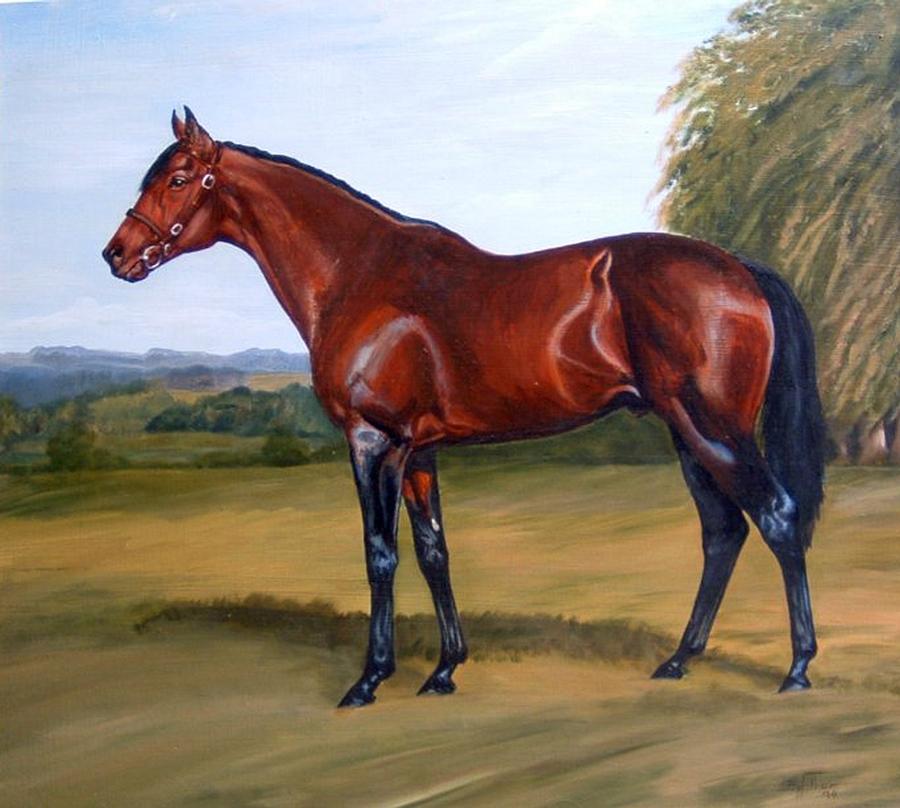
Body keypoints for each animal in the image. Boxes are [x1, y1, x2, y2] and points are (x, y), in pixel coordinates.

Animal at [103, 108, 826, 707]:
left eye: (177, 178)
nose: (116, 255)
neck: (359, 277)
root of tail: (740, 270)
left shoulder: (374, 443)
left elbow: (381, 554)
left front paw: (370, 679)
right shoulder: (420, 452)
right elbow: (434, 552)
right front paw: (446, 669)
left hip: (714, 429)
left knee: (777, 516)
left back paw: (796, 669)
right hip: (685, 433)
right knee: (723, 532)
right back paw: (679, 660)